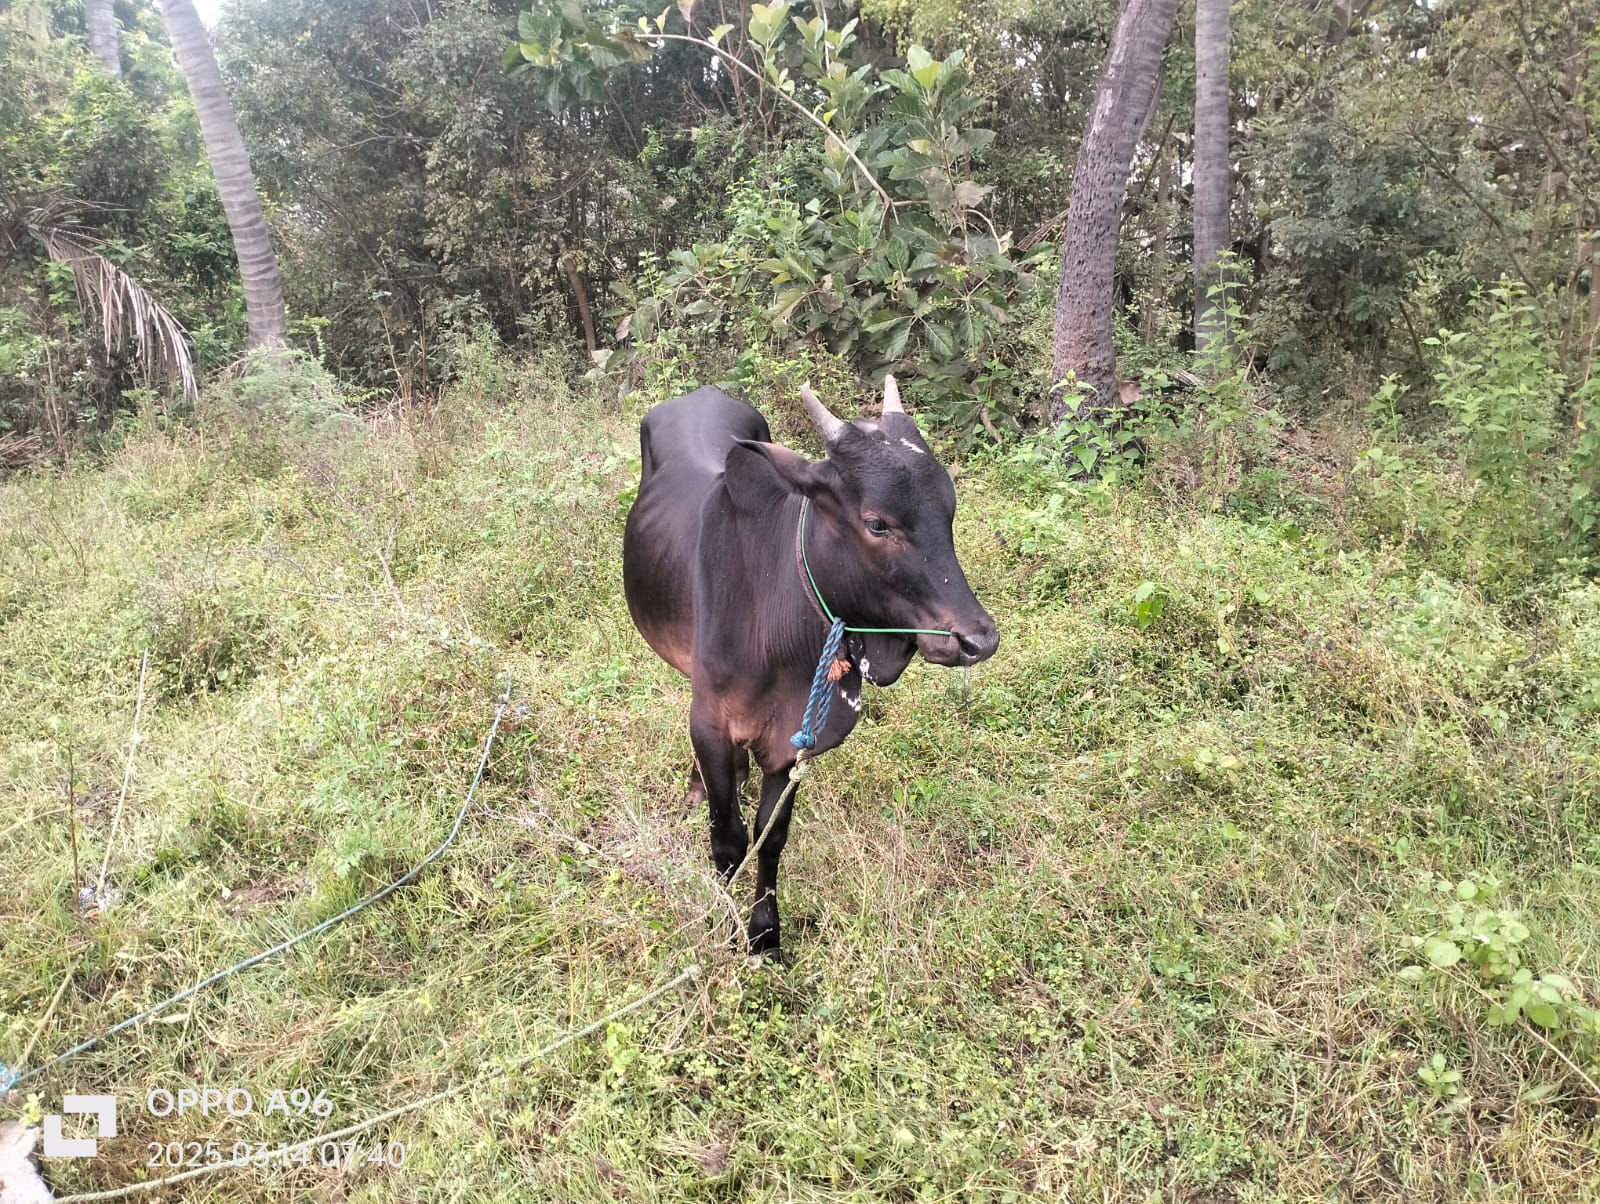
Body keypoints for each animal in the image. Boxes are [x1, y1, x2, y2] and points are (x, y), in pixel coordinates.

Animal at [621, 376, 999, 955]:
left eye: (950, 511)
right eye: (876, 523)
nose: (978, 638)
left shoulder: (794, 740)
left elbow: (770, 838)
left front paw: (764, 935)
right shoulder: (710, 721)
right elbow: (727, 838)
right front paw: (726, 927)